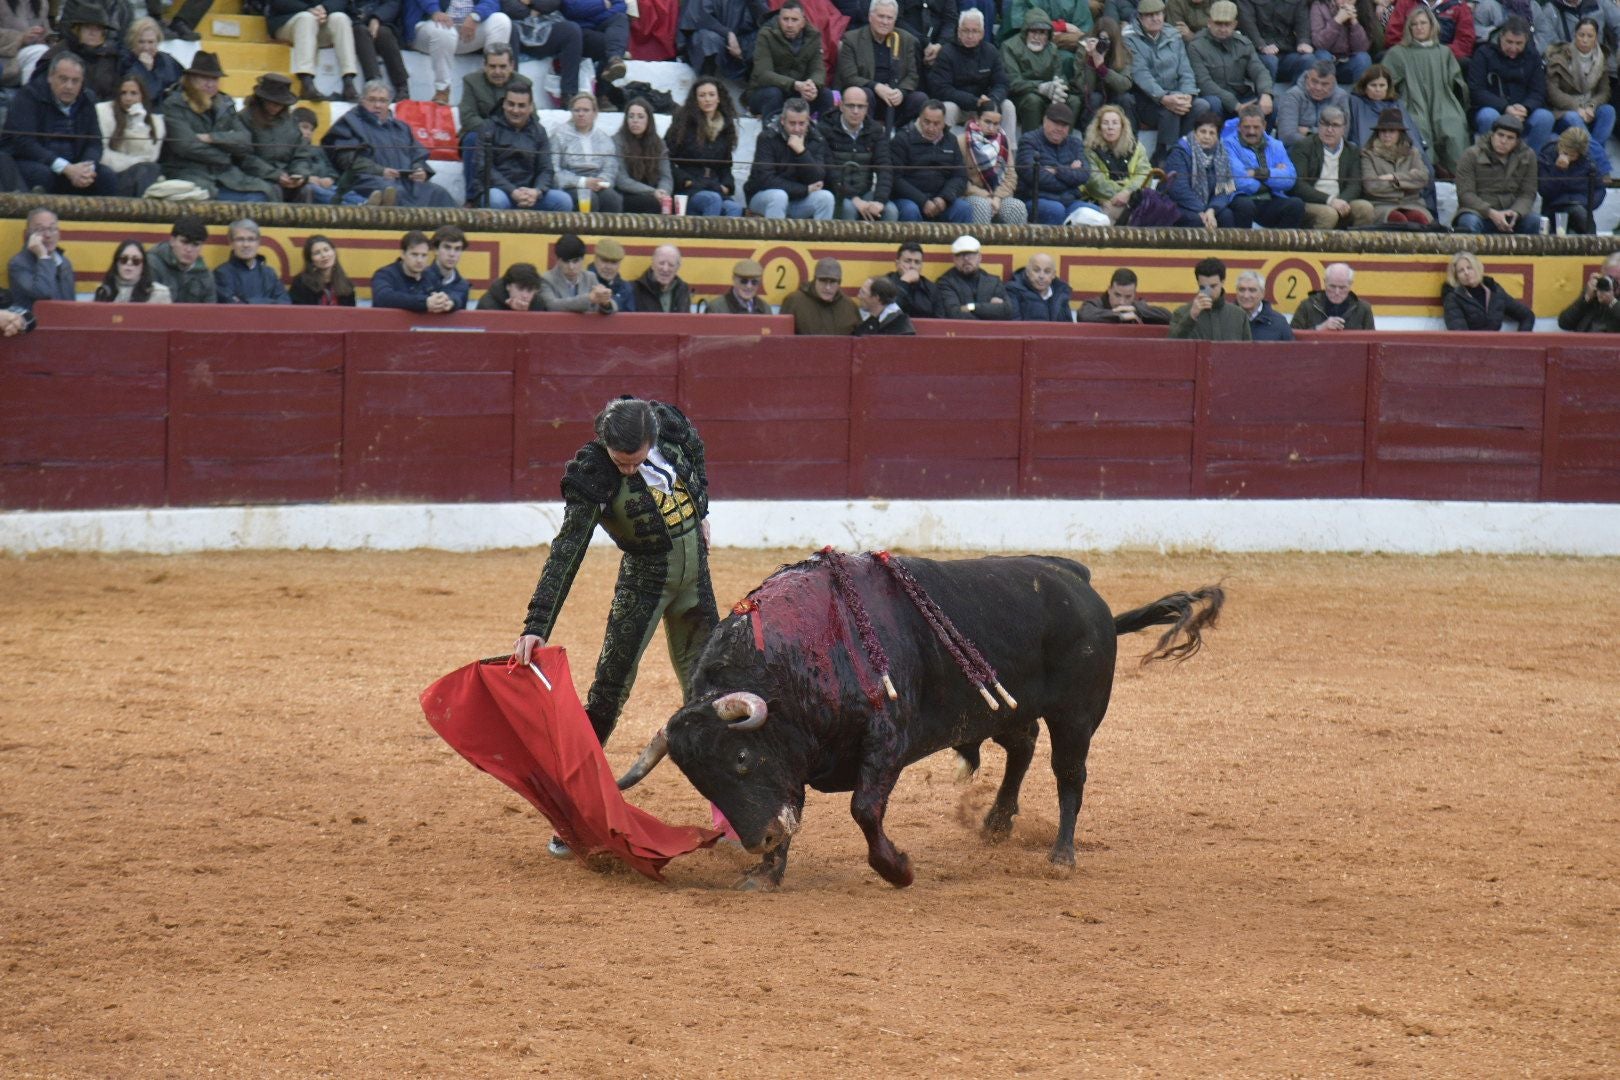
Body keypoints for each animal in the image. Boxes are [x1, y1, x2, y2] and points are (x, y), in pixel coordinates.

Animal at [612, 553, 1218, 893]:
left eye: (739, 758)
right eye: (700, 781)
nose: (756, 841)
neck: (808, 648)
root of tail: (1080, 583)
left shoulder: (886, 739)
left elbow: (863, 809)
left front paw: (898, 870)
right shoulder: (795, 757)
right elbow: (792, 808)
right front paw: (765, 873)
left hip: (1077, 716)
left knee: (1069, 776)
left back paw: (1061, 857)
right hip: (1006, 706)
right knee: (1021, 749)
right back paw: (997, 822)